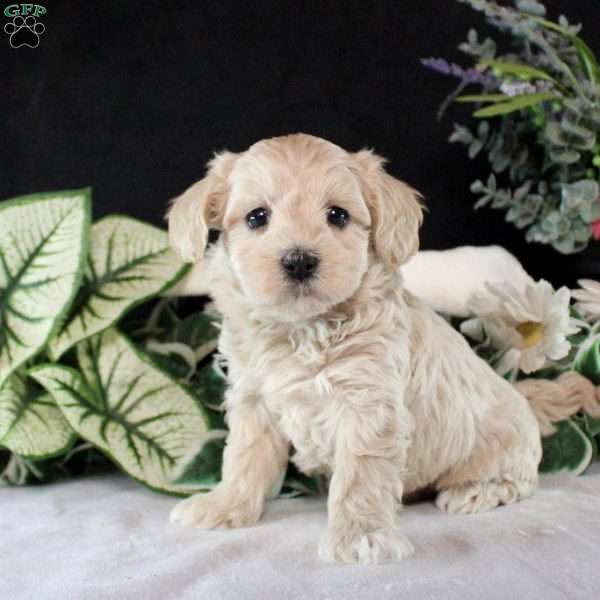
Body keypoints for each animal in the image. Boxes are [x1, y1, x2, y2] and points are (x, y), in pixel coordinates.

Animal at [166, 134, 540, 564]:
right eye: (257, 217)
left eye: (338, 215)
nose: (299, 261)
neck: (302, 329)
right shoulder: (253, 399)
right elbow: (244, 456)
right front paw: (225, 505)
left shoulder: (368, 405)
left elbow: (361, 475)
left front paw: (362, 534)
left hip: (506, 447)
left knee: (516, 481)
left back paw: (475, 491)